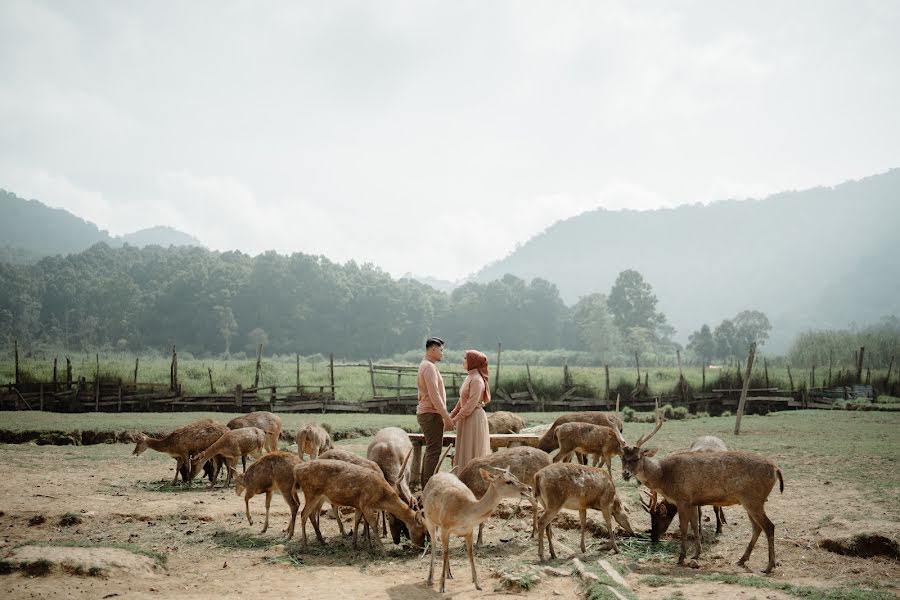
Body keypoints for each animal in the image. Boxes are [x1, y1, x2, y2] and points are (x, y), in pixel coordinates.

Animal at [292, 452, 426, 552]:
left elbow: (357, 521)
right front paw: (381, 550)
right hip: (311, 493)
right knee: (303, 514)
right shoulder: (366, 504)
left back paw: (322, 540)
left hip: (319, 497)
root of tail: (296, 469)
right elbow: (373, 525)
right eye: (422, 529)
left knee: (311, 514)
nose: (421, 547)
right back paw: (305, 545)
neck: (381, 497)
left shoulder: (359, 505)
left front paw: (355, 544)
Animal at [624, 408, 784, 572]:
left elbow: (684, 528)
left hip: (754, 500)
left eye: (637, 458)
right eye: (622, 458)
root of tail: (776, 469)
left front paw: (681, 558)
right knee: (757, 527)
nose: (626, 474)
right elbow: (695, 526)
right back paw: (742, 560)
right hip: (750, 502)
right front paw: (696, 554)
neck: (665, 477)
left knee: (769, 526)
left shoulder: (683, 499)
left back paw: (769, 566)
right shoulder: (693, 502)